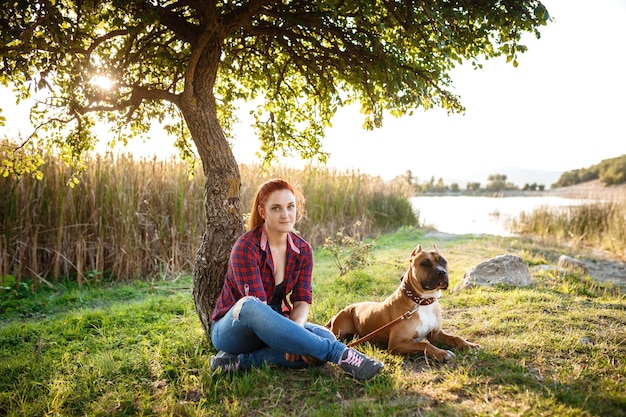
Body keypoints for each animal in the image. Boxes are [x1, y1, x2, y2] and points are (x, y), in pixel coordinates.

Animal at [324, 244, 476, 360]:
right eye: (425, 263)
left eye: (443, 261)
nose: (441, 272)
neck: (421, 302)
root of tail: (339, 312)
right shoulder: (397, 343)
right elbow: (424, 345)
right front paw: (442, 353)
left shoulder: (436, 334)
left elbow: (456, 337)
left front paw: (469, 345)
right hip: (338, 332)